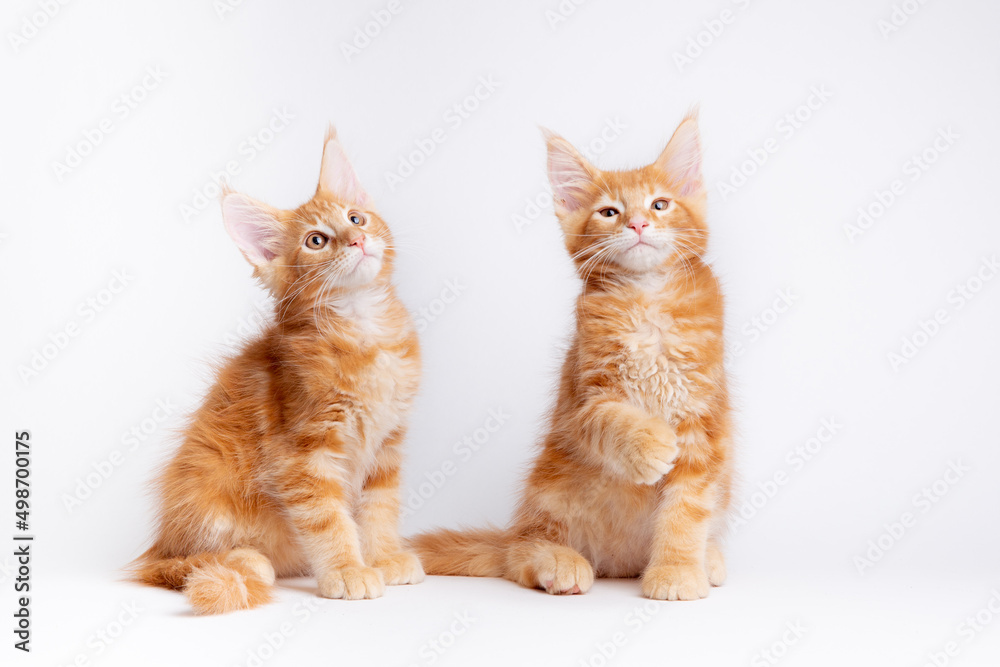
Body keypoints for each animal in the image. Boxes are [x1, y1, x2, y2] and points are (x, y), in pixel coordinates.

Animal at [130, 128, 422, 612]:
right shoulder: (303, 453)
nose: (356, 240)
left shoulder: (387, 445)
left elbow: (380, 508)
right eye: (316, 241)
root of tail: (161, 541)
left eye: (356, 218)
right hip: (208, 486)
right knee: (177, 565)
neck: (363, 331)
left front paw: (383, 557)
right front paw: (347, 570)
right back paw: (244, 560)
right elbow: (327, 519)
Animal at [414, 113, 736, 600]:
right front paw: (650, 445)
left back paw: (707, 559)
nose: (638, 224)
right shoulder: (583, 400)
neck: (646, 299)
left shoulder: (704, 420)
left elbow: (688, 509)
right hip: (554, 484)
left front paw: (677, 570)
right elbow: (611, 419)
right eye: (609, 212)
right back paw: (557, 561)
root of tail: (621, 564)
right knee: (521, 551)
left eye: (660, 204)